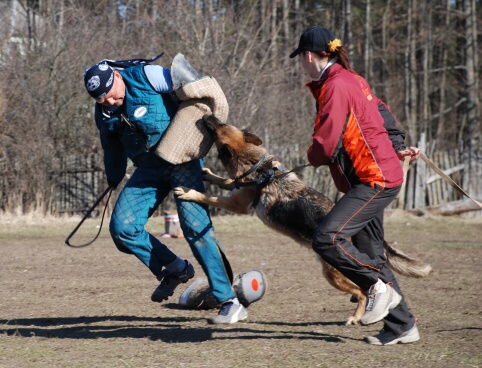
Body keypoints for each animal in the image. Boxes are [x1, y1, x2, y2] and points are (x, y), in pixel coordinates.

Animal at [174, 115, 434, 324]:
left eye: (219, 126)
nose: (207, 115)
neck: (257, 166)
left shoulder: (236, 204)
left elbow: (211, 196)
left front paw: (189, 192)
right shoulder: (237, 187)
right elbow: (224, 181)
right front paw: (208, 174)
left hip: (332, 274)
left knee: (363, 290)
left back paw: (357, 316)